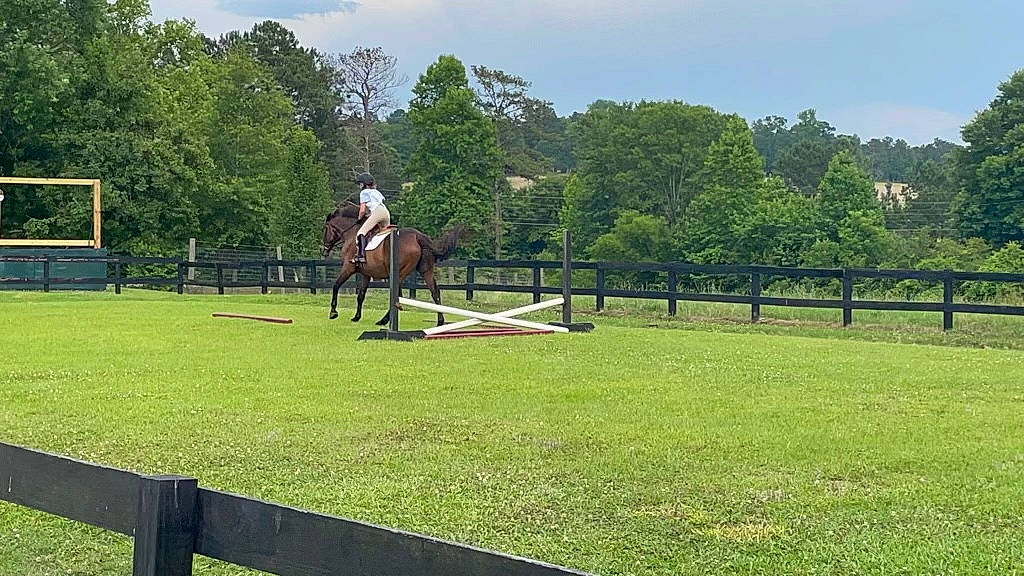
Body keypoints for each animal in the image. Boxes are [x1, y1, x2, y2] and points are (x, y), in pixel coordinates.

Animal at [321, 205, 467, 327]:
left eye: (325, 229)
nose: (324, 251)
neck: (351, 234)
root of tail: (417, 236)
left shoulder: (348, 268)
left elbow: (336, 286)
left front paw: (333, 312)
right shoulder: (366, 274)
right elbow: (360, 295)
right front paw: (356, 317)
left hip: (397, 272)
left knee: (398, 295)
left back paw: (383, 320)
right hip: (426, 270)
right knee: (434, 292)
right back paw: (440, 321)